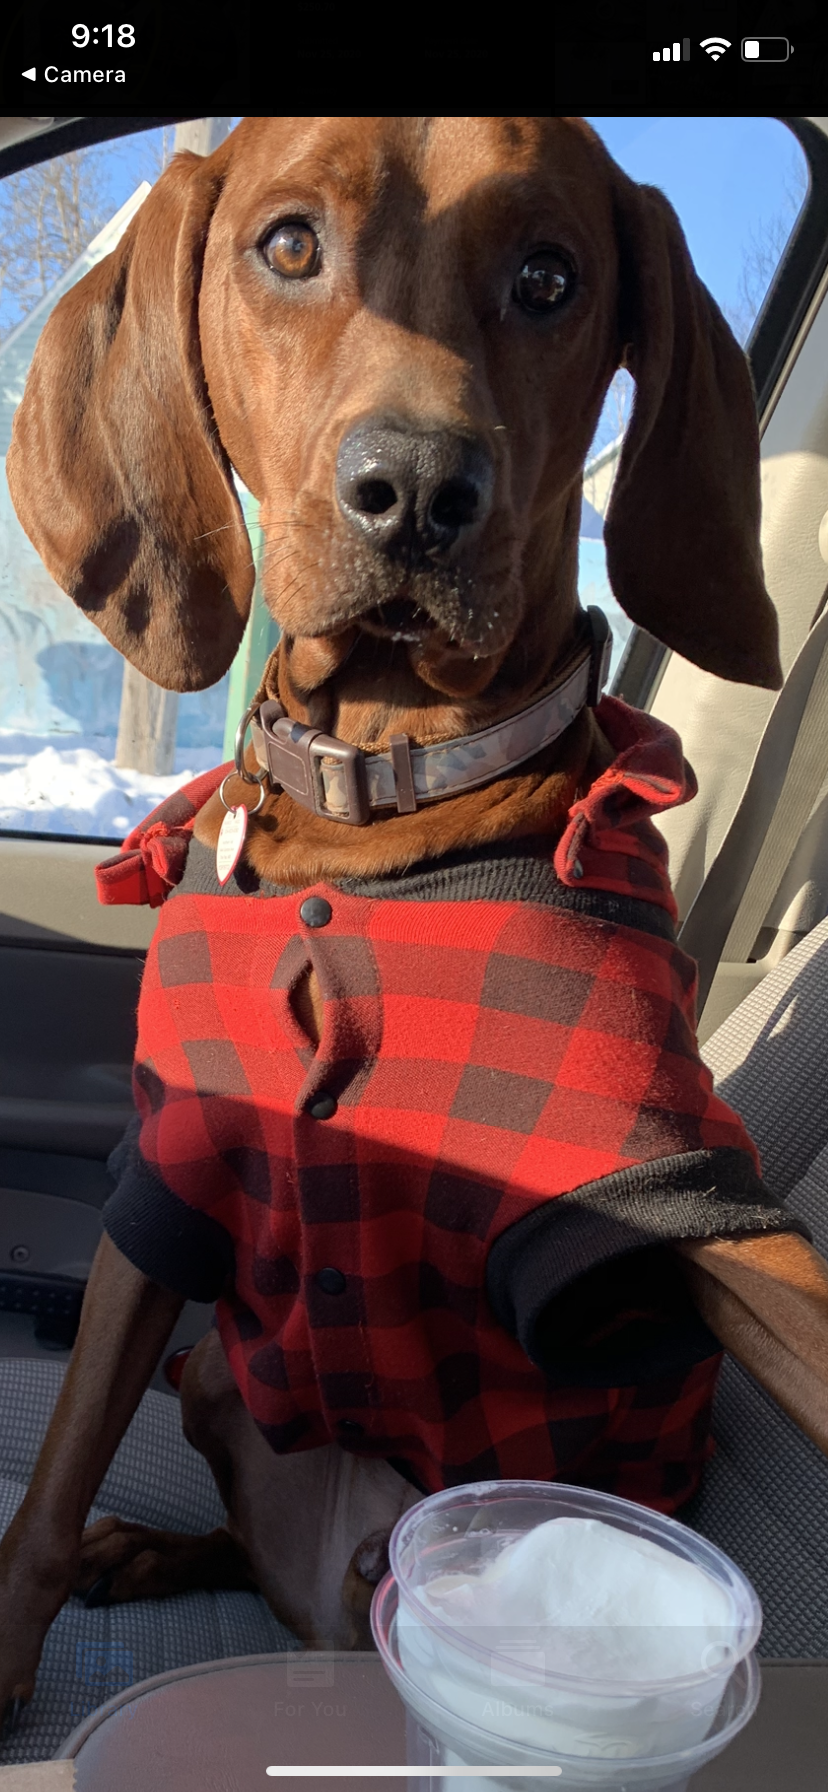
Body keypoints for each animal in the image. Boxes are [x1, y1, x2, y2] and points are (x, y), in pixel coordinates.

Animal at [3, 117, 828, 1726]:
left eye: (551, 277)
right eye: (288, 245)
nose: (420, 489)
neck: (373, 812)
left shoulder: (672, 1187)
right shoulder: (169, 1167)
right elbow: (49, 1495)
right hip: (223, 1378)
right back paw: (148, 1552)